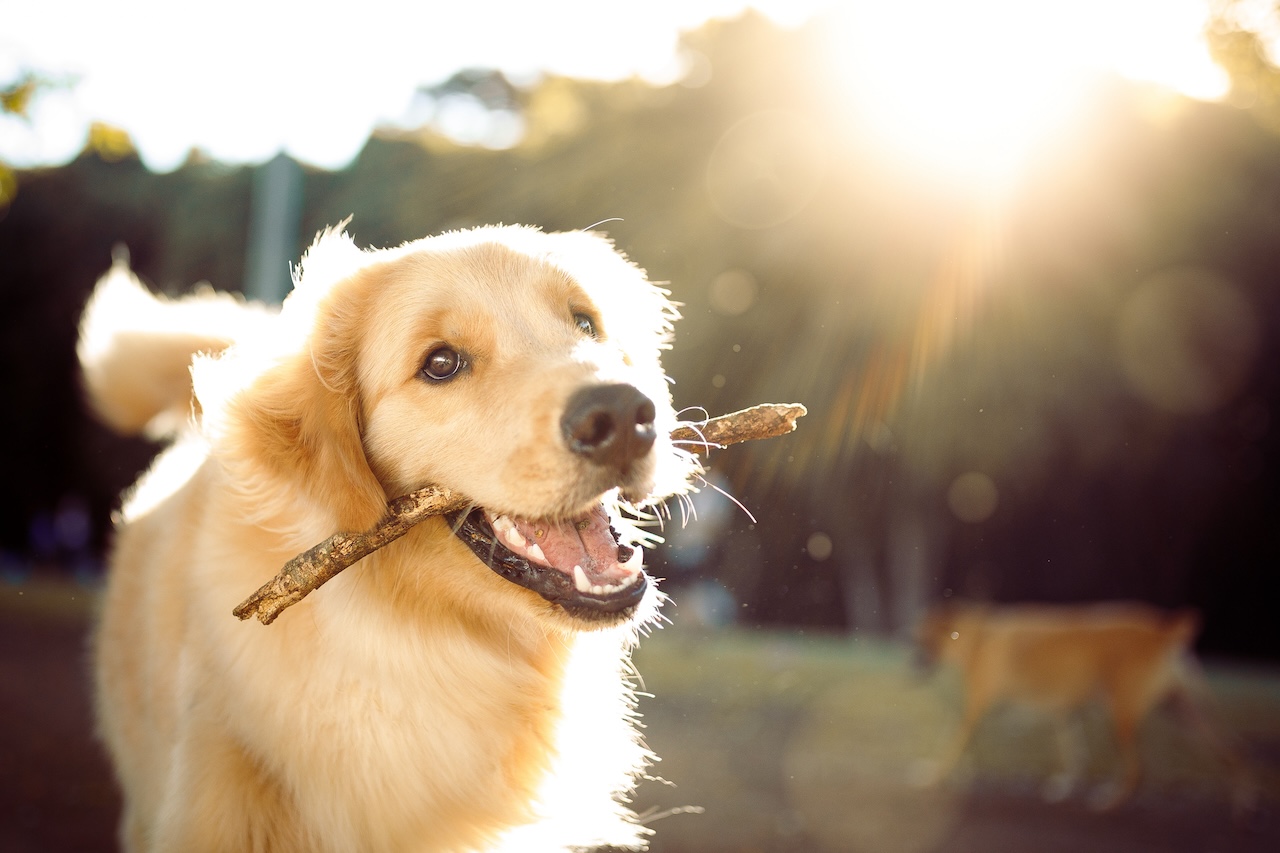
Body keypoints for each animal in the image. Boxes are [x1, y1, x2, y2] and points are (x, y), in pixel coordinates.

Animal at [916, 594, 1254, 809]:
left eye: (924, 640)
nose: (914, 662)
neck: (978, 637)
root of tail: (1162, 631)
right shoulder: (1065, 714)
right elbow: (1074, 754)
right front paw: (1062, 788)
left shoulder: (974, 711)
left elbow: (952, 742)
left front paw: (933, 776)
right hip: (1185, 711)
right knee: (1232, 749)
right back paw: (1244, 803)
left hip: (1120, 713)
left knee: (1138, 769)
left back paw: (1108, 802)